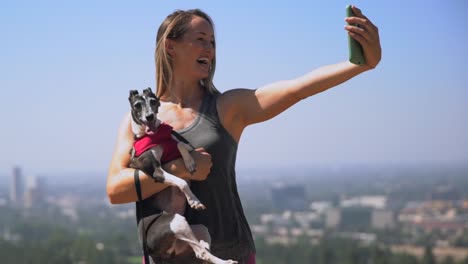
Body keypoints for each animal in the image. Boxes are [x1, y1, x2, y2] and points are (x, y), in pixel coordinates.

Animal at [128, 88, 238, 264]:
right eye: (138, 105)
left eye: (153, 101)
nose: (150, 116)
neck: (154, 136)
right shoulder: (155, 171)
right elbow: (181, 182)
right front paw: (194, 201)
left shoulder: (179, 146)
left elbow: (180, 144)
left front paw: (190, 162)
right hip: (177, 221)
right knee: (202, 252)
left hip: (198, 228)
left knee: (202, 251)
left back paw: (220, 257)